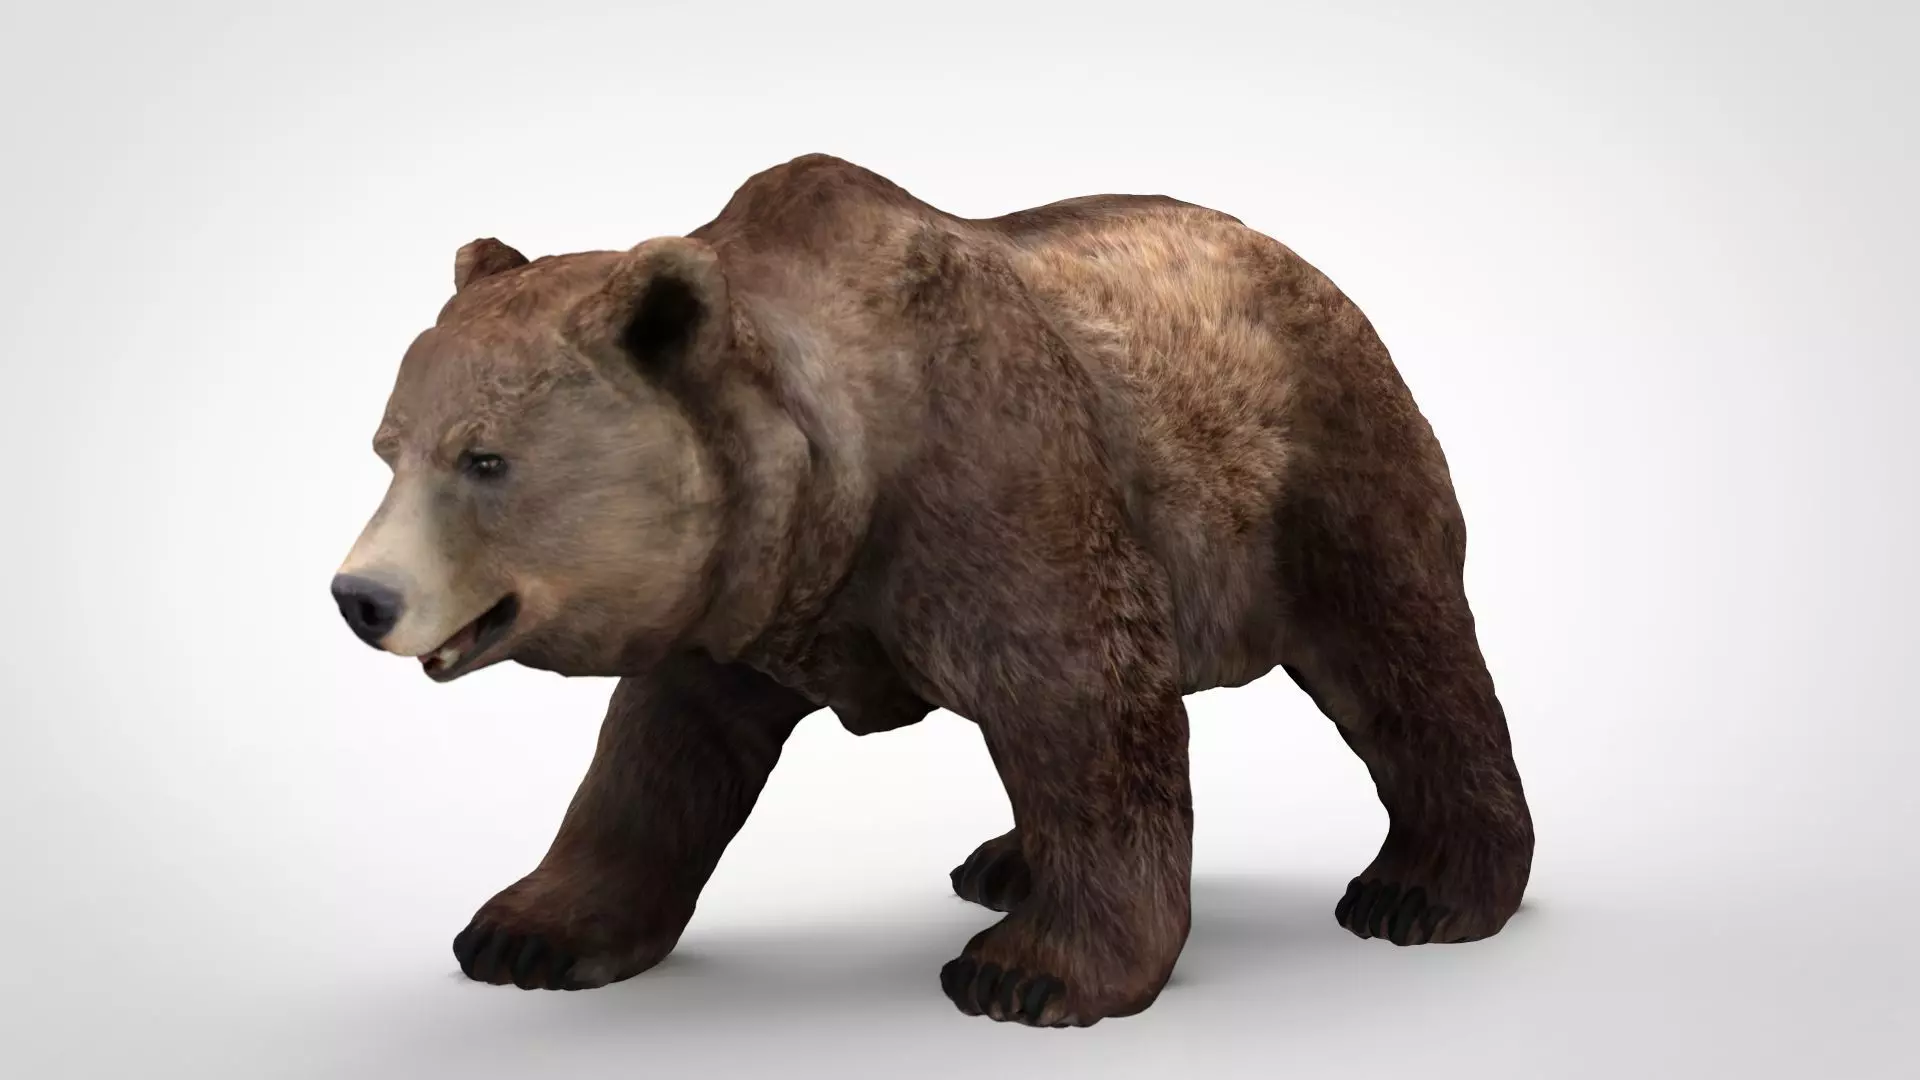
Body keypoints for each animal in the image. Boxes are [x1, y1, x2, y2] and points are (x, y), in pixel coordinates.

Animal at [330, 152, 1534, 1027]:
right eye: (388, 448)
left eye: (485, 460)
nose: (360, 596)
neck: (837, 482)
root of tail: (1290, 252)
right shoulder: (740, 605)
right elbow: (653, 760)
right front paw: (524, 930)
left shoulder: (996, 477)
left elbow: (1086, 706)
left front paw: (1031, 972)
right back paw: (1004, 864)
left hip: (1316, 454)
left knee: (1403, 649)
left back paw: (1425, 890)